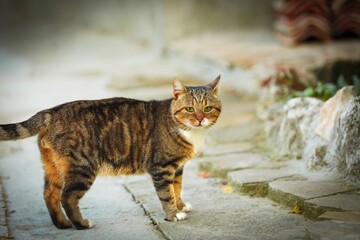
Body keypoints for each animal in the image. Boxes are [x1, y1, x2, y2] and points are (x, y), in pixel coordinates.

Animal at [0, 76, 222, 230]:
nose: (200, 119)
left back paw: (62, 224)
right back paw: (82, 224)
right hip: (82, 168)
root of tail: (49, 112)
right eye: (190, 109)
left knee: (49, 194)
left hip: (53, 166)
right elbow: (167, 193)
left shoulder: (177, 168)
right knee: (67, 197)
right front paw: (173, 214)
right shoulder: (162, 167)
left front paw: (181, 206)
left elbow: (177, 188)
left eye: (208, 108)